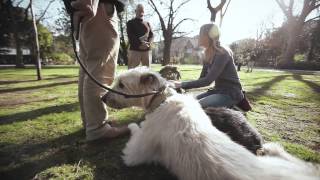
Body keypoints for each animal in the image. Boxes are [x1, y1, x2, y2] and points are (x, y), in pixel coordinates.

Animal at [103, 67, 320, 180]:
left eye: (121, 84)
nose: (103, 98)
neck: (163, 101)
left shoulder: (134, 153)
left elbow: (135, 131)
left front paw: (132, 126)